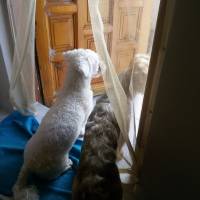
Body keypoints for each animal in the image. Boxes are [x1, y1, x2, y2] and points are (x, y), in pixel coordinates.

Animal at [8, 48, 99, 200]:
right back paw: (68, 165)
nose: (101, 65)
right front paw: (82, 133)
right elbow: (83, 126)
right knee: (58, 172)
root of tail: (29, 163)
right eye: (94, 60)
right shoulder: (86, 115)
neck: (73, 88)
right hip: (56, 165)